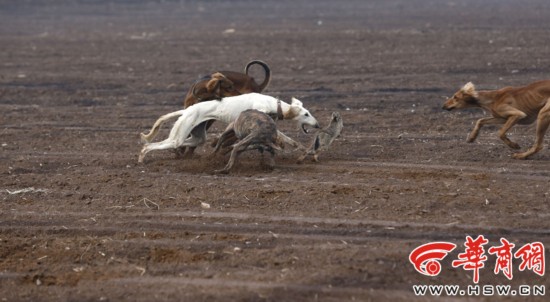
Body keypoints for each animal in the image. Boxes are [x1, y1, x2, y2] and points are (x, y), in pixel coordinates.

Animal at [138, 92, 322, 163]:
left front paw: (308, 153)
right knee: (149, 146)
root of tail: (187, 110)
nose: (318, 125)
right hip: (179, 136)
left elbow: (293, 142)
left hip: (197, 136)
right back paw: (141, 158)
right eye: (306, 114)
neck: (271, 104)